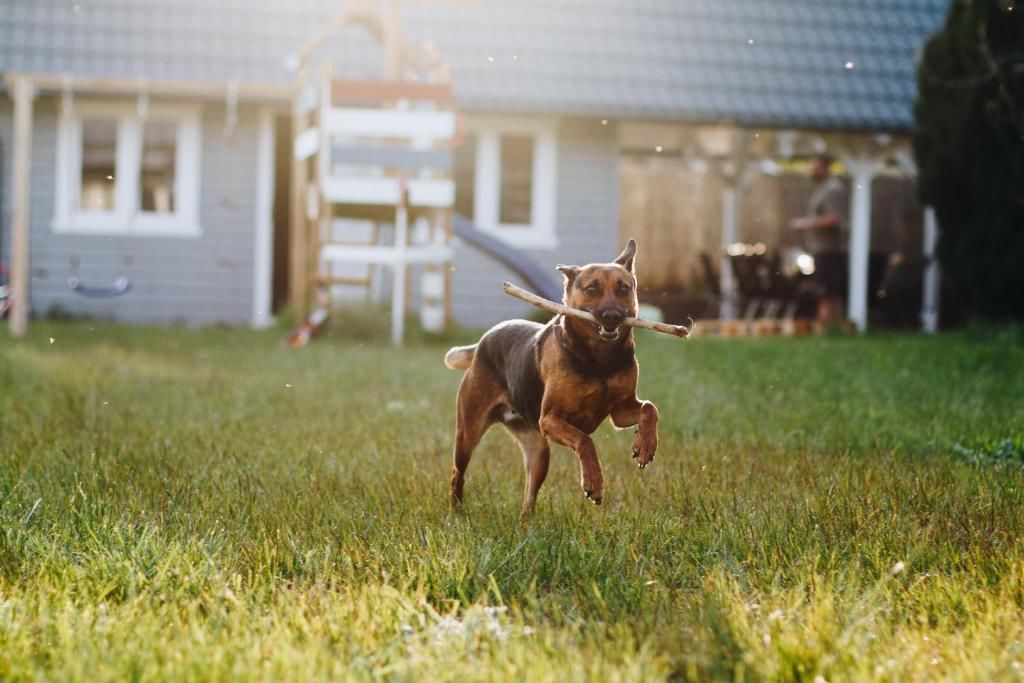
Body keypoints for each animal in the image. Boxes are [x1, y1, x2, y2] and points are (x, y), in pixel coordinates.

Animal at [444, 240, 659, 518]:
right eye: (592, 288)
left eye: (624, 288)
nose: (612, 316)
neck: (598, 359)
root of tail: (484, 340)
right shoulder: (550, 419)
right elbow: (585, 440)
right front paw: (593, 483)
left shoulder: (620, 411)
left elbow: (649, 408)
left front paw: (646, 446)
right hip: (468, 432)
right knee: (456, 473)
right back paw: (455, 513)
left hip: (538, 451)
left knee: (529, 498)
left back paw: (527, 524)